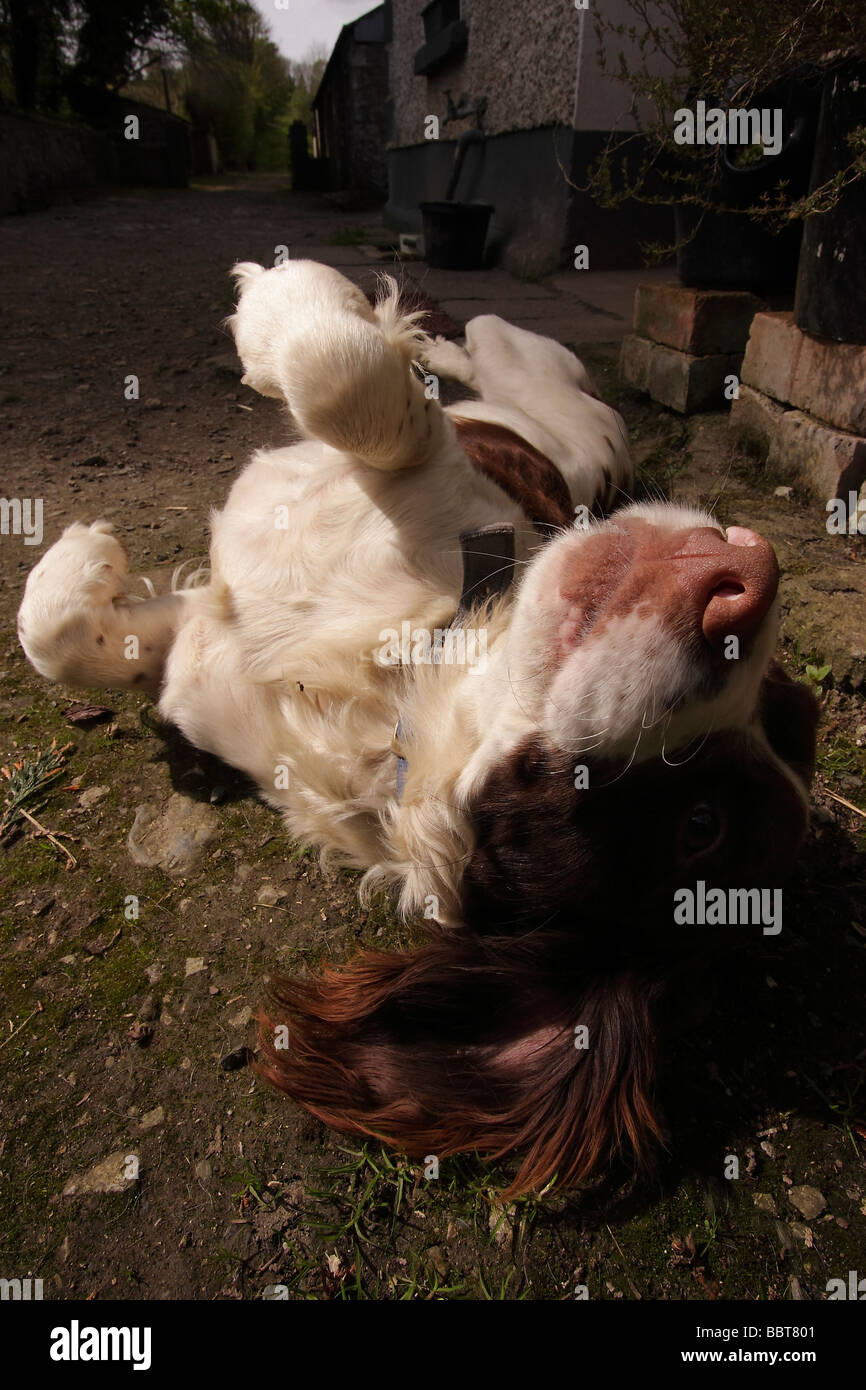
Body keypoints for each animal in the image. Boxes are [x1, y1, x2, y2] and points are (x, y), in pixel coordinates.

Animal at [20, 262, 817, 1195]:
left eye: (701, 825)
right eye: (785, 696)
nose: (748, 577)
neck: (393, 677)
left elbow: (341, 374)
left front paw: (282, 298)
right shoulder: (204, 654)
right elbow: (56, 638)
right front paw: (88, 554)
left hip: (543, 385)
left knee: (494, 348)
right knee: (483, 350)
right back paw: (434, 339)